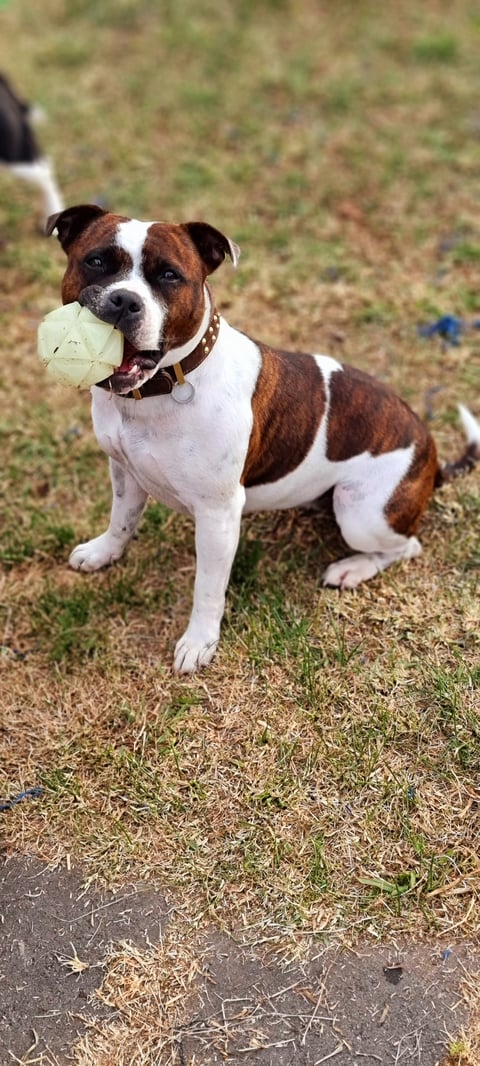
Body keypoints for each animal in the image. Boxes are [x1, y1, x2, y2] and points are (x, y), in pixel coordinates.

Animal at [45, 206, 480, 669]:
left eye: (168, 275)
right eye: (96, 261)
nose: (124, 301)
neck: (161, 388)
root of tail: (431, 453)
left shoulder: (217, 516)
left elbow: (207, 588)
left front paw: (199, 642)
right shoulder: (124, 472)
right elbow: (121, 521)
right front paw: (103, 553)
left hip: (361, 514)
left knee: (406, 546)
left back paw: (351, 569)